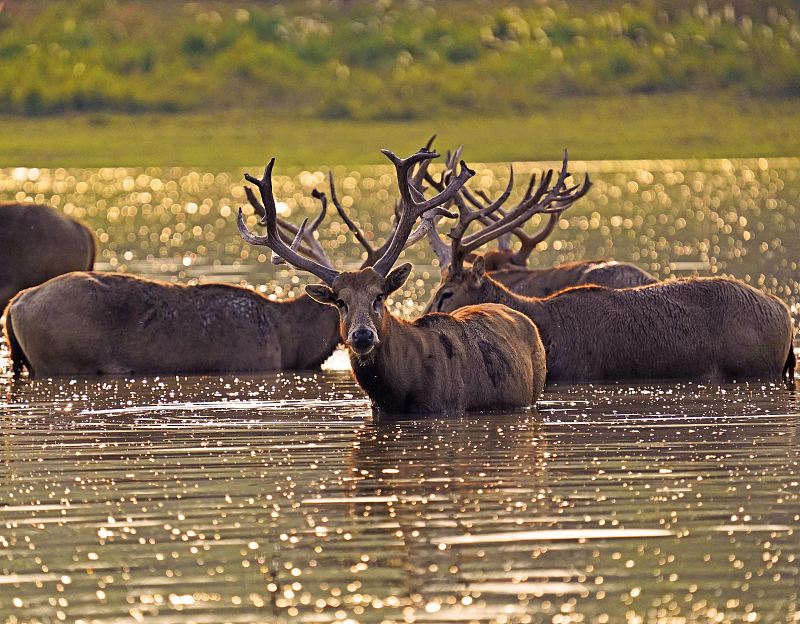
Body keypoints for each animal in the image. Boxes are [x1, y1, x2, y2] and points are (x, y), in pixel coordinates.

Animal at [424, 158, 792, 388]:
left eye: (447, 293)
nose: (420, 319)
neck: (547, 331)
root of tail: (784, 311)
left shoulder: (579, 372)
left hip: (754, 366)